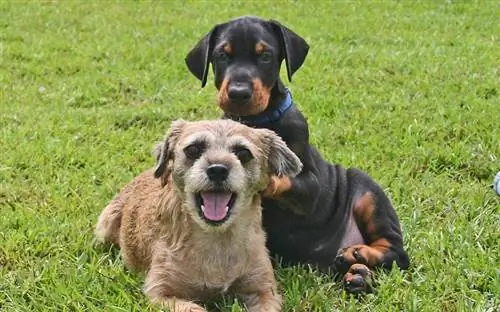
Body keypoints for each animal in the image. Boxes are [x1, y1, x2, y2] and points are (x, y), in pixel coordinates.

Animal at [95, 118, 302, 310]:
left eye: (243, 153)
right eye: (193, 149)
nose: (217, 169)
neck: (217, 239)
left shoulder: (264, 290)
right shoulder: (161, 293)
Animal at [186, 15, 408, 294]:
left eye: (265, 56)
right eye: (222, 55)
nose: (238, 93)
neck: (257, 120)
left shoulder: (311, 186)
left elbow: (289, 180)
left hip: (367, 190)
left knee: (398, 253)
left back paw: (358, 256)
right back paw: (359, 274)